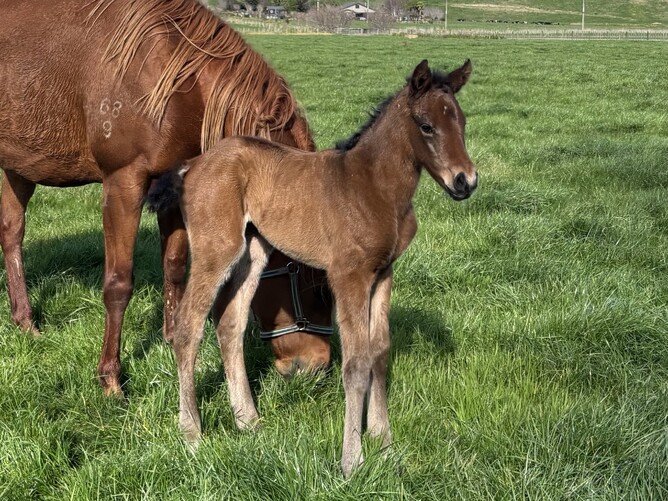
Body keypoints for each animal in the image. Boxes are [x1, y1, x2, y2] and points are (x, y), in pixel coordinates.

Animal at [0, 0, 332, 395]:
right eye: (318, 290)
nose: (315, 368)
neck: (178, 84)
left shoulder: (173, 185)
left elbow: (174, 267)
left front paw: (177, 342)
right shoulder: (123, 184)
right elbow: (118, 283)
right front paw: (111, 378)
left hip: (19, 166)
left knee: (12, 233)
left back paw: (25, 321)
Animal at [152, 59, 477, 475]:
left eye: (462, 121)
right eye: (426, 126)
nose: (465, 181)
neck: (374, 188)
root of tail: (191, 166)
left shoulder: (383, 273)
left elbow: (380, 353)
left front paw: (384, 444)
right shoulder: (349, 276)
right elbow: (356, 363)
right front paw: (352, 460)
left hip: (253, 252)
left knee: (229, 323)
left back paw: (248, 420)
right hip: (216, 250)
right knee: (187, 328)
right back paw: (192, 434)